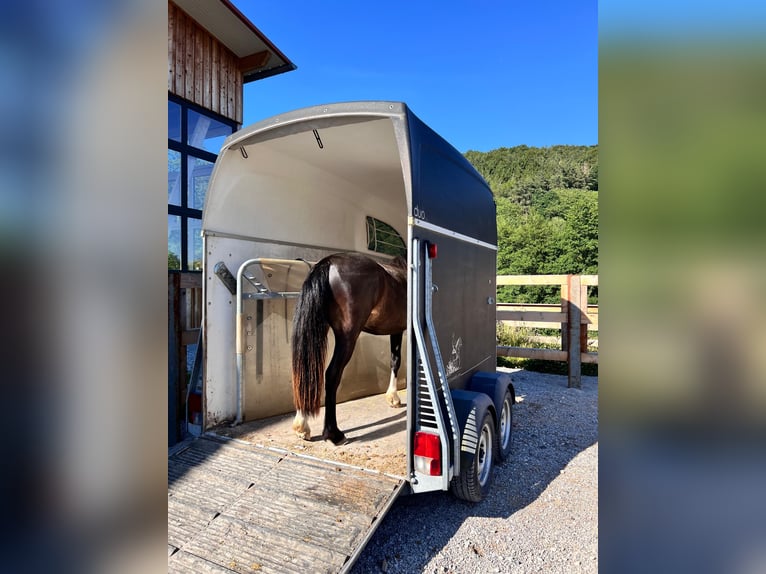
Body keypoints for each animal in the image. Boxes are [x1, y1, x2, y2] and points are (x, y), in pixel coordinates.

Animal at [291, 252, 407, 445]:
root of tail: (329, 262)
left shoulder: (396, 330)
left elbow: (394, 360)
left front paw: (392, 397)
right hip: (347, 337)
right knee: (332, 374)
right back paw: (334, 434)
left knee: (306, 370)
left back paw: (302, 426)